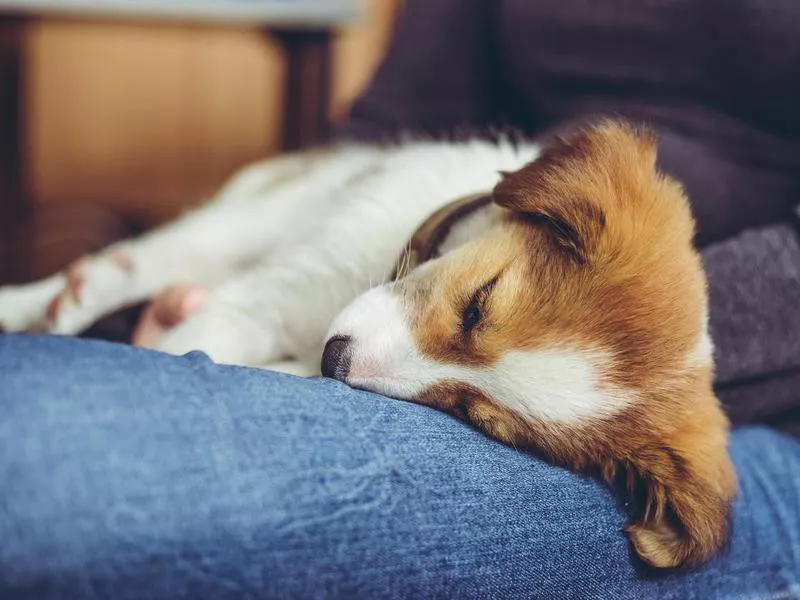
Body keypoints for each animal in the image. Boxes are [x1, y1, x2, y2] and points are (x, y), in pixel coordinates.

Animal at [0, 120, 736, 568]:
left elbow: (196, 345)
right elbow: (187, 311)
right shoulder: (286, 266)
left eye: (473, 416)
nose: (336, 361)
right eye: (478, 304)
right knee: (164, 252)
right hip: (272, 204)